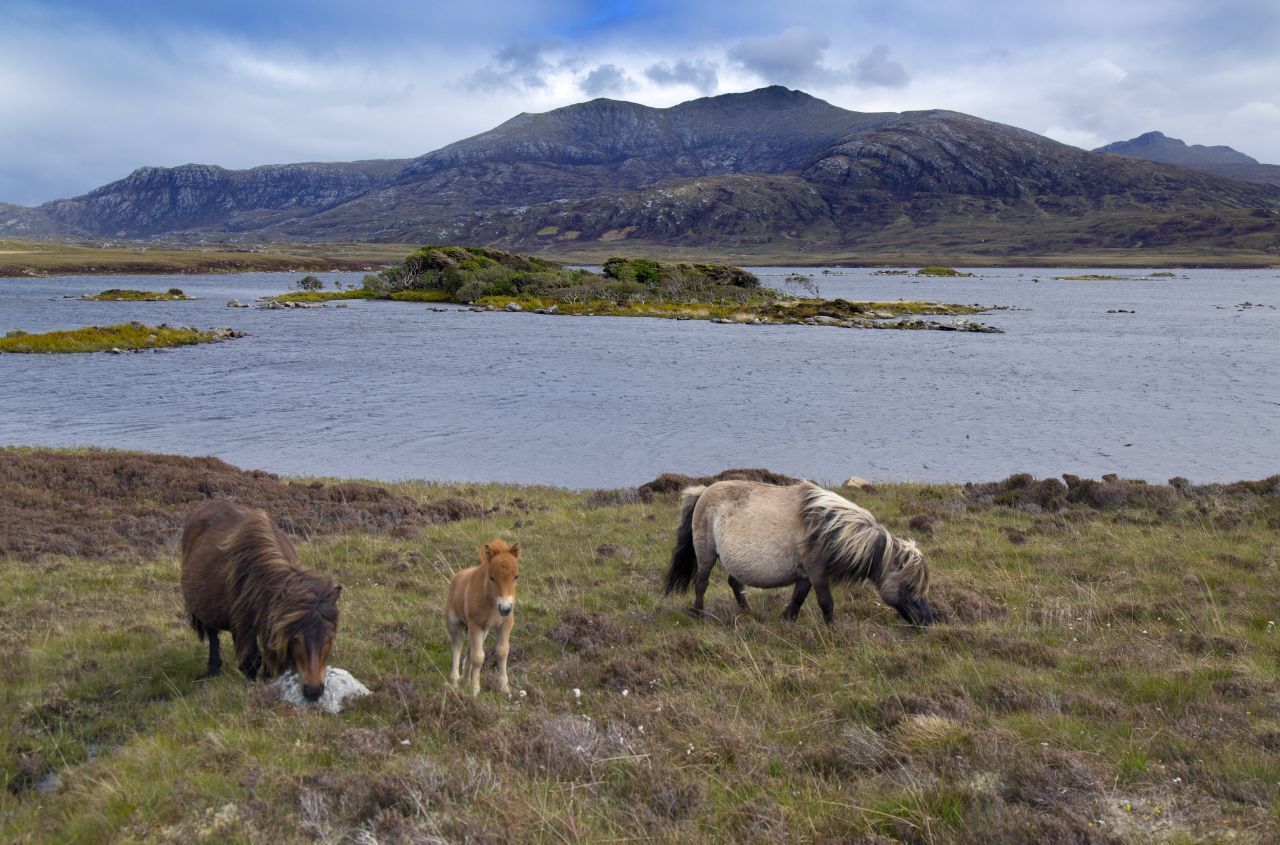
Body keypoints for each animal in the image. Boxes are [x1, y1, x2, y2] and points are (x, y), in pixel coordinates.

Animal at [180, 501, 343, 701]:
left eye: (331, 637)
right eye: (296, 639)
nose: (313, 691)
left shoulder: (271, 622)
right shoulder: (243, 626)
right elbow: (250, 660)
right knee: (213, 636)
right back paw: (212, 671)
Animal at [442, 540, 517, 691]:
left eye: (516, 576)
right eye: (492, 577)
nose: (505, 608)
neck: (492, 604)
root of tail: (457, 577)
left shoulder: (505, 624)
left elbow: (502, 652)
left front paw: (504, 688)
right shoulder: (476, 625)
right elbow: (478, 657)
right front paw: (475, 690)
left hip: (483, 631)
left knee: (470, 649)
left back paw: (465, 681)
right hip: (456, 625)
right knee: (457, 646)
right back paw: (455, 682)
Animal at [665, 481, 936, 627]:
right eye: (909, 587)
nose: (928, 621)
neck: (826, 528)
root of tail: (703, 492)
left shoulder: (806, 576)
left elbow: (797, 599)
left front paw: (787, 620)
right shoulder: (817, 574)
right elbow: (826, 603)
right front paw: (832, 631)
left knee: (735, 584)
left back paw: (749, 613)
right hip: (707, 555)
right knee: (701, 583)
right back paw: (698, 615)